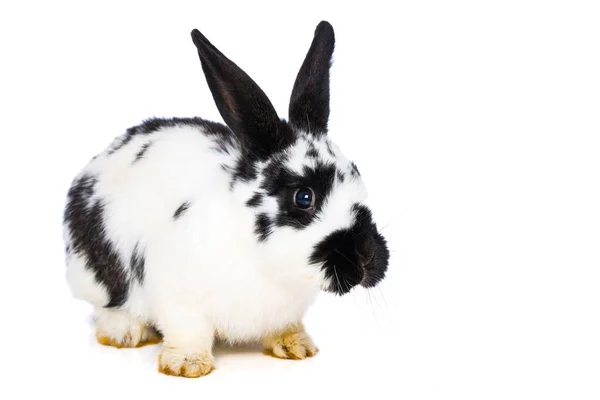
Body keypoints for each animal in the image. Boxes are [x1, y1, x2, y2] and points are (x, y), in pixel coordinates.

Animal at [61, 21, 390, 378]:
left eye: (357, 174)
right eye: (304, 197)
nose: (367, 258)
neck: (269, 266)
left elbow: (285, 325)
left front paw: (296, 346)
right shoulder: (178, 299)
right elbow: (187, 331)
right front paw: (188, 365)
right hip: (94, 275)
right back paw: (125, 333)